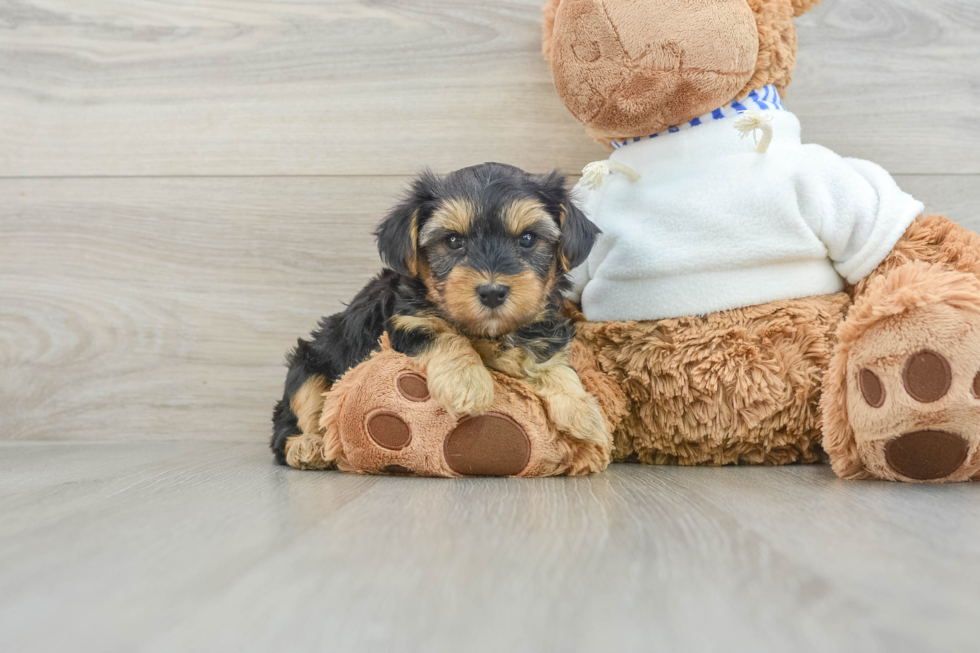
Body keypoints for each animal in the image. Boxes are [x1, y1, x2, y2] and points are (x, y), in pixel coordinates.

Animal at [270, 163, 604, 468]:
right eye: (454, 241)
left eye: (527, 239)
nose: (492, 292)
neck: (487, 331)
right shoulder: (406, 321)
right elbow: (444, 334)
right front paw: (467, 382)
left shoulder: (542, 326)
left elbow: (553, 361)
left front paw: (583, 410)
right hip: (308, 367)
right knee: (290, 422)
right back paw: (306, 446)